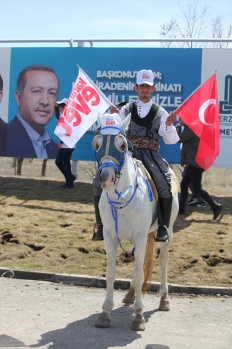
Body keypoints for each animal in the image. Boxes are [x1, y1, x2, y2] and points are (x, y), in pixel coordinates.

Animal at [91, 113, 179, 328]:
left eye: (122, 145)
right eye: (97, 144)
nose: (105, 177)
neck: (121, 199)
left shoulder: (140, 236)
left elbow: (139, 276)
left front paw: (138, 316)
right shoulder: (109, 236)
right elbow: (111, 273)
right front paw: (105, 313)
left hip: (168, 230)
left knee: (163, 260)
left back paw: (164, 299)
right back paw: (130, 295)